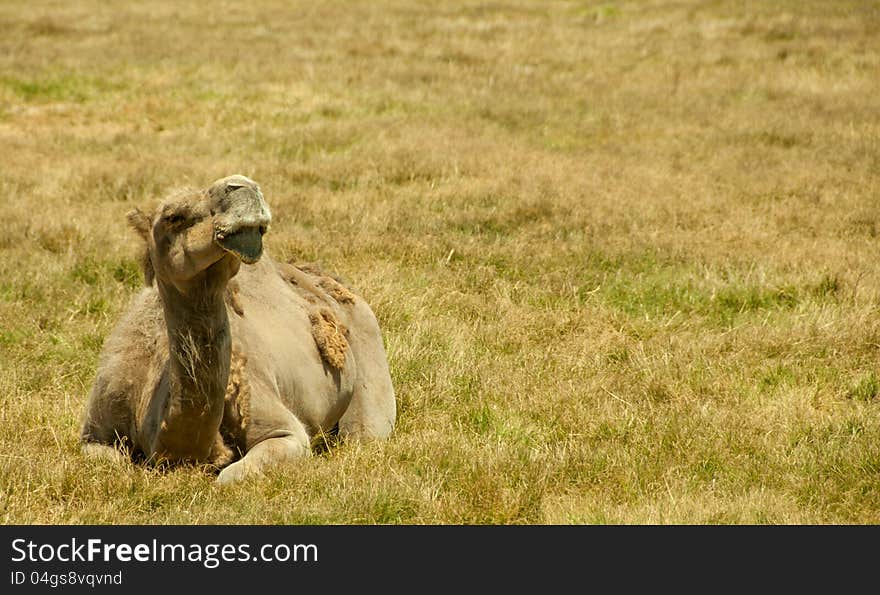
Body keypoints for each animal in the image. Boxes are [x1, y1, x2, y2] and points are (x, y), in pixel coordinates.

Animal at [79, 175, 396, 486]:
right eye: (173, 216)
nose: (243, 185)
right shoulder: (94, 430)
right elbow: (112, 462)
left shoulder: (282, 429)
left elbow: (228, 477)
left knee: (364, 433)